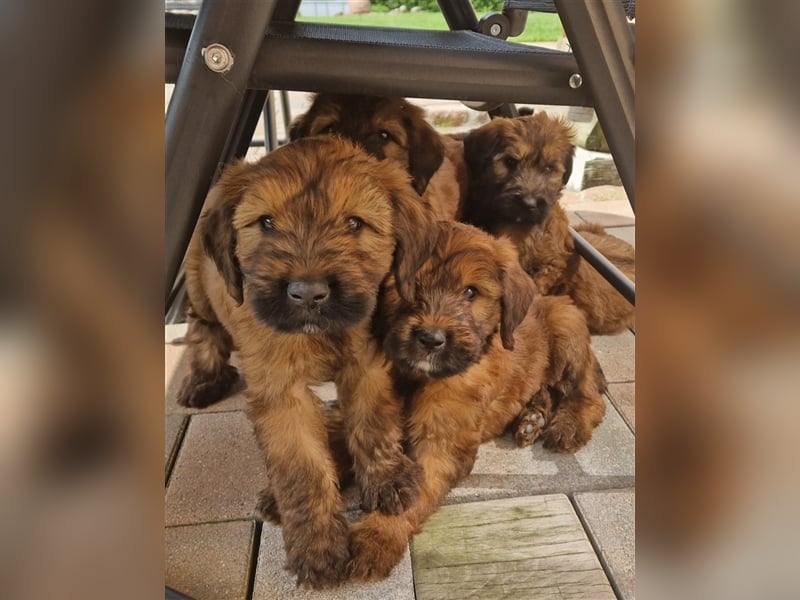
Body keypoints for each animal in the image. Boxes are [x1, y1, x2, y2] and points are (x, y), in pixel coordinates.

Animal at [176, 136, 438, 584]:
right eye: (266, 222)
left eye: (355, 224)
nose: (308, 293)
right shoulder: (282, 392)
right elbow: (303, 468)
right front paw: (318, 545)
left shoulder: (365, 363)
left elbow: (373, 422)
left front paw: (387, 478)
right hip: (198, 282)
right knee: (203, 325)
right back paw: (204, 378)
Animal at [346, 221, 604, 580]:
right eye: (408, 285)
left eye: (471, 293)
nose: (431, 339)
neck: (417, 379)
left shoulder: (441, 445)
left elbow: (412, 493)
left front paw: (376, 536)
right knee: (545, 388)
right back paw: (531, 418)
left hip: (567, 325)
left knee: (588, 395)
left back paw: (567, 426)